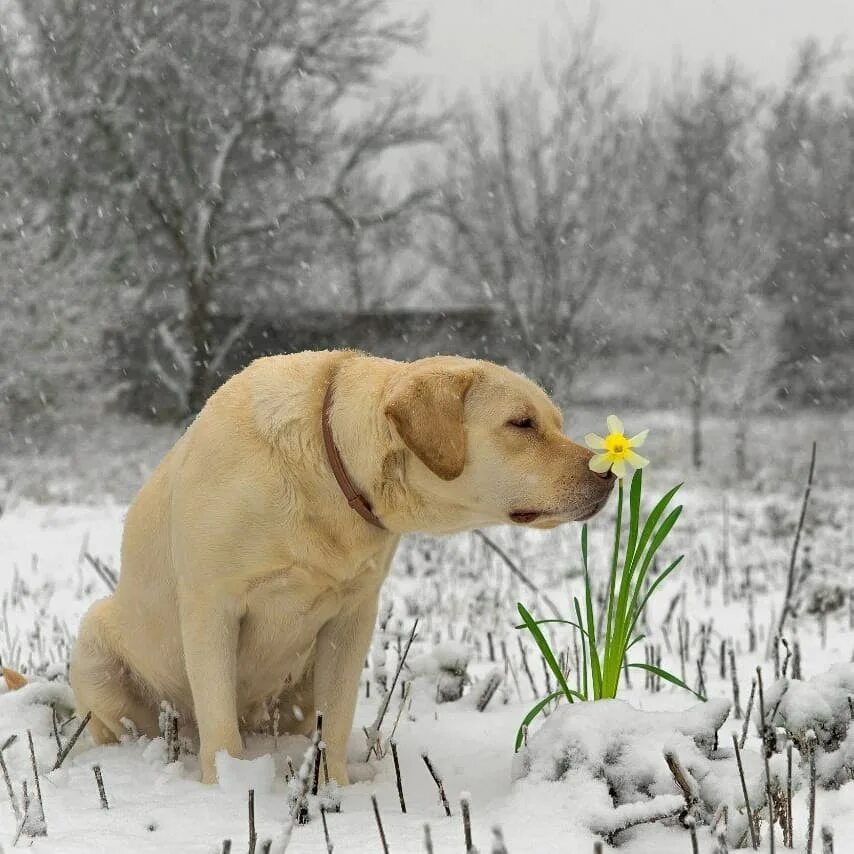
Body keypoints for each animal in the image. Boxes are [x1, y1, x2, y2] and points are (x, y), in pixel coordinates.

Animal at [68, 348, 616, 784]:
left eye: (555, 422)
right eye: (522, 424)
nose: (608, 474)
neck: (328, 471)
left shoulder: (352, 616)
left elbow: (334, 718)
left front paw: (335, 791)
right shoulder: (211, 607)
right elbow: (219, 724)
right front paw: (226, 790)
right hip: (95, 641)